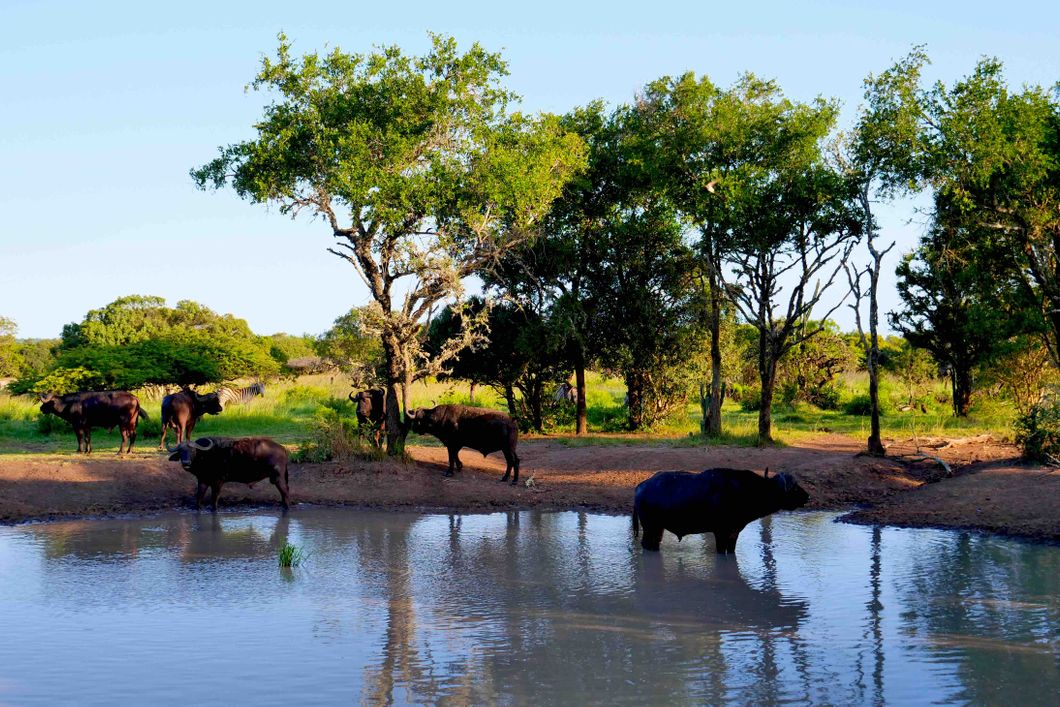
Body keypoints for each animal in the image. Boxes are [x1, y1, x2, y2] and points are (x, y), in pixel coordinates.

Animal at [633, 468, 809, 554]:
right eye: (794, 487)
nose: (807, 496)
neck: (746, 491)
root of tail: (641, 486)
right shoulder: (720, 533)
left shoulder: (733, 533)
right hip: (649, 527)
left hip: (658, 529)